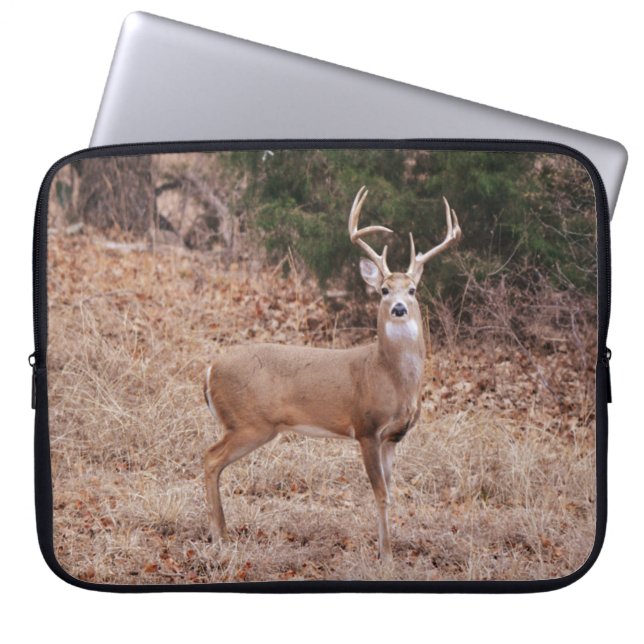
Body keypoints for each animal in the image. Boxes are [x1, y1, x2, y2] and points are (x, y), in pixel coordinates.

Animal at [203, 186, 462, 560]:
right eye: (384, 290)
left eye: (412, 290)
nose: (399, 308)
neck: (389, 377)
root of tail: (210, 369)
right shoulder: (365, 428)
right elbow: (380, 494)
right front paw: (385, 556)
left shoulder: (393, 438)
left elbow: (391, 493)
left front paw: (388, 549)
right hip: (249, 422)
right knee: (210, 459)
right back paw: (220, 535)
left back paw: (222, 533)